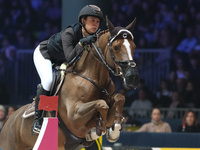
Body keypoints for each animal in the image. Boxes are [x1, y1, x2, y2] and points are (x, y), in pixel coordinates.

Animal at [0, 17, 139, 149]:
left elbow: (119, 98)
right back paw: (36, 127)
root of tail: (8, 120)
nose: (132, 76)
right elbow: (101, 104)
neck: (95, 80)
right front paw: (97, 130)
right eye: (116, 47)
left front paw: (114, 130)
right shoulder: (74, 115)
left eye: (134, 47)